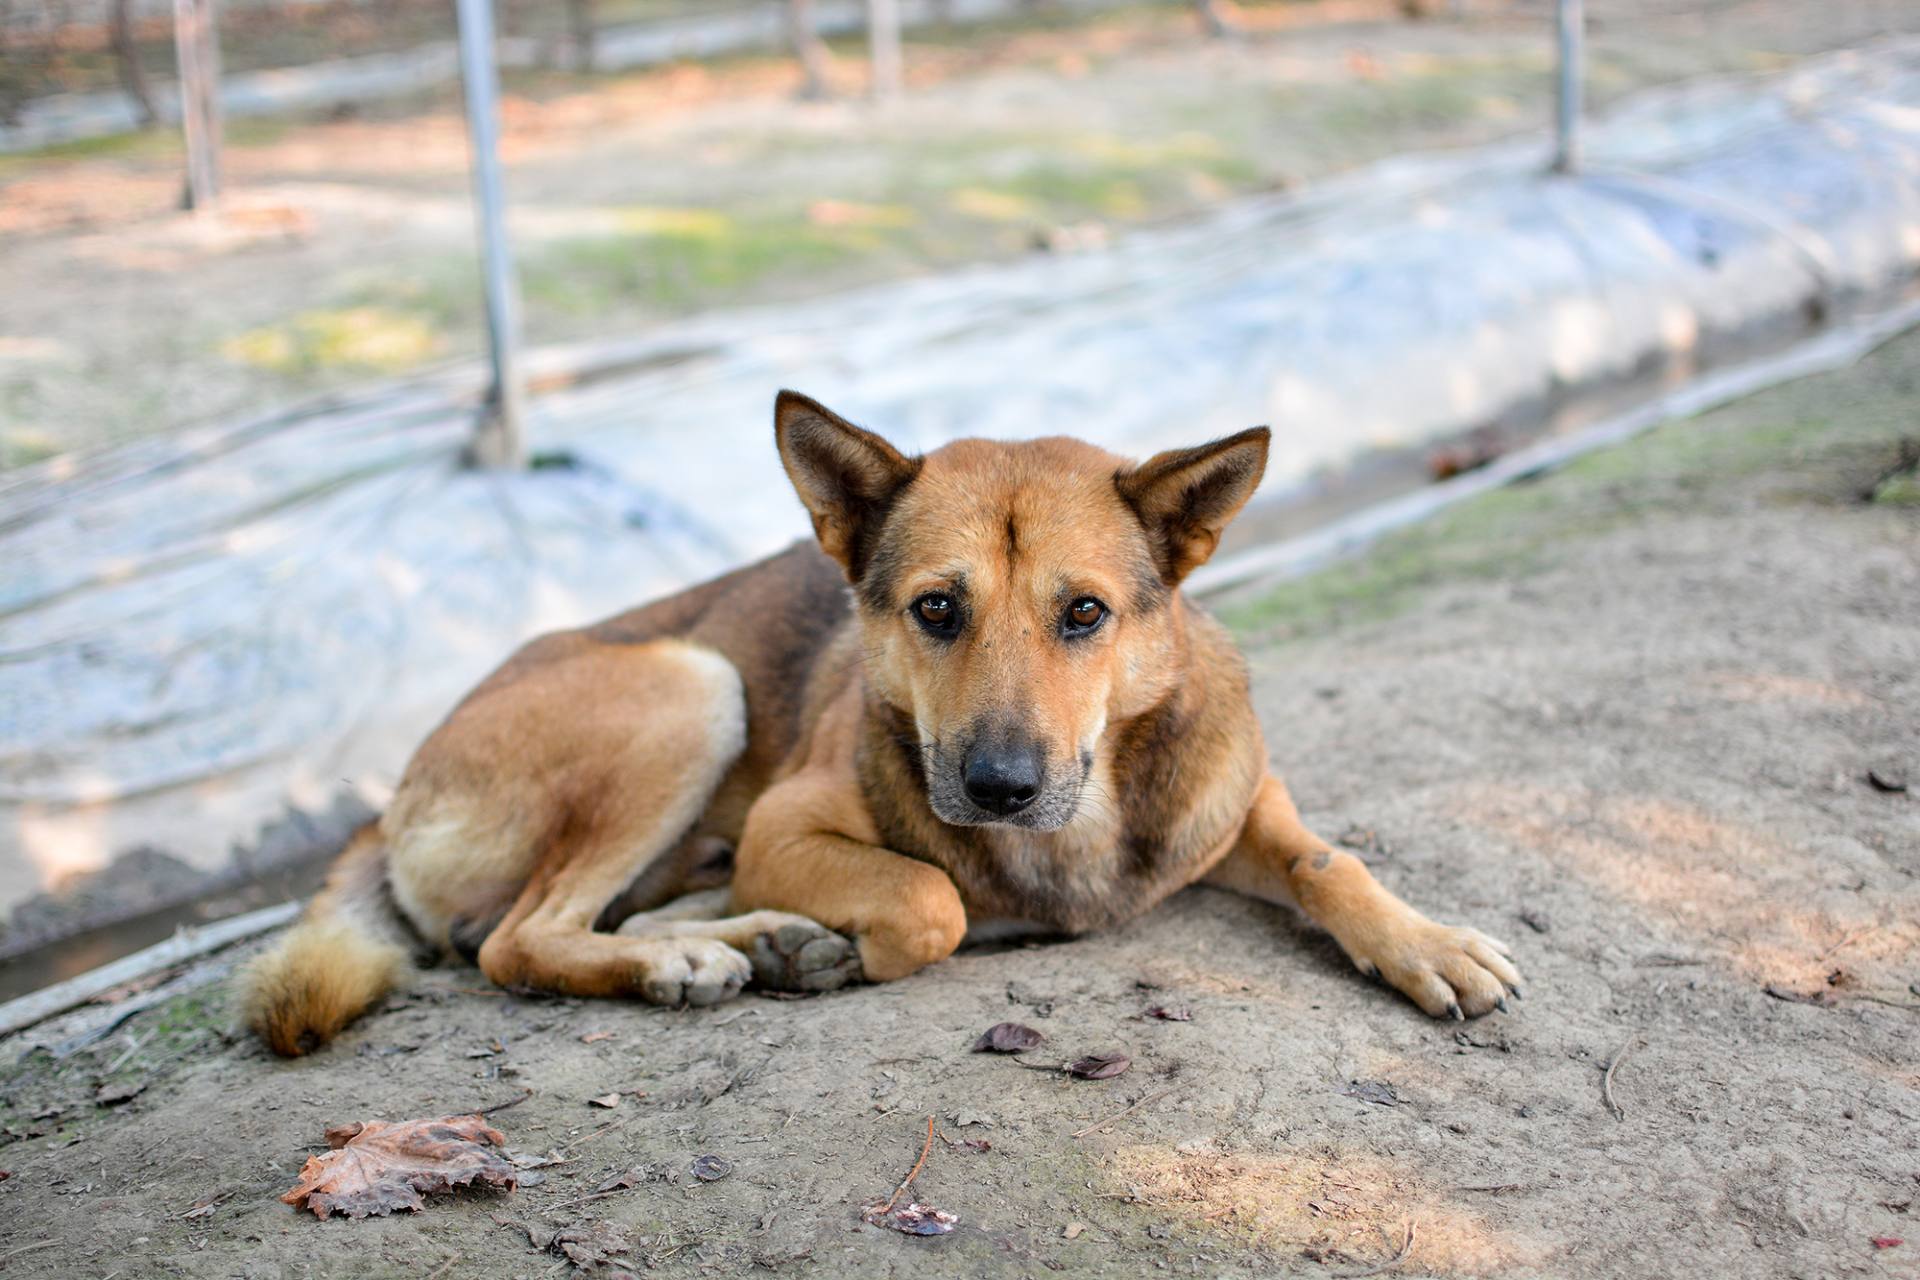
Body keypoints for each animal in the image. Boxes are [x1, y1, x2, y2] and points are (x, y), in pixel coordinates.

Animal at [247, 395, 1520, 1059]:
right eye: (936, 608)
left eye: (1086, 612)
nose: (1001, 785)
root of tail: (385, 797)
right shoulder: (787, 823)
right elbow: (932, 896)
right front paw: (864, 940)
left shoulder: (1236, 800)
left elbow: (1327, 857)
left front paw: (1427, 939)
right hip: (691, 684)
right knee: (517, 940)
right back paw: (711, 956)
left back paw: (752, 939)